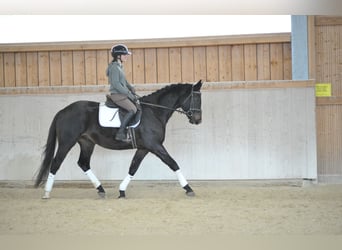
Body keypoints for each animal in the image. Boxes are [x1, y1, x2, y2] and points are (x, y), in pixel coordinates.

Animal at [34, 80, 203, 199]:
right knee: (56, 163)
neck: (154, 111)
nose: (197, 120)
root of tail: (63, 111)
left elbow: (133, 167)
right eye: (195, 98)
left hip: (87, 142)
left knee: (83, 163)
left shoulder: (144, 148)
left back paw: (101, 190)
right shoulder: (154, 145)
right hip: (66, 142)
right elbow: (173, 163)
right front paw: (188, 188)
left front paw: (121, 191)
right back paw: (47, 193)